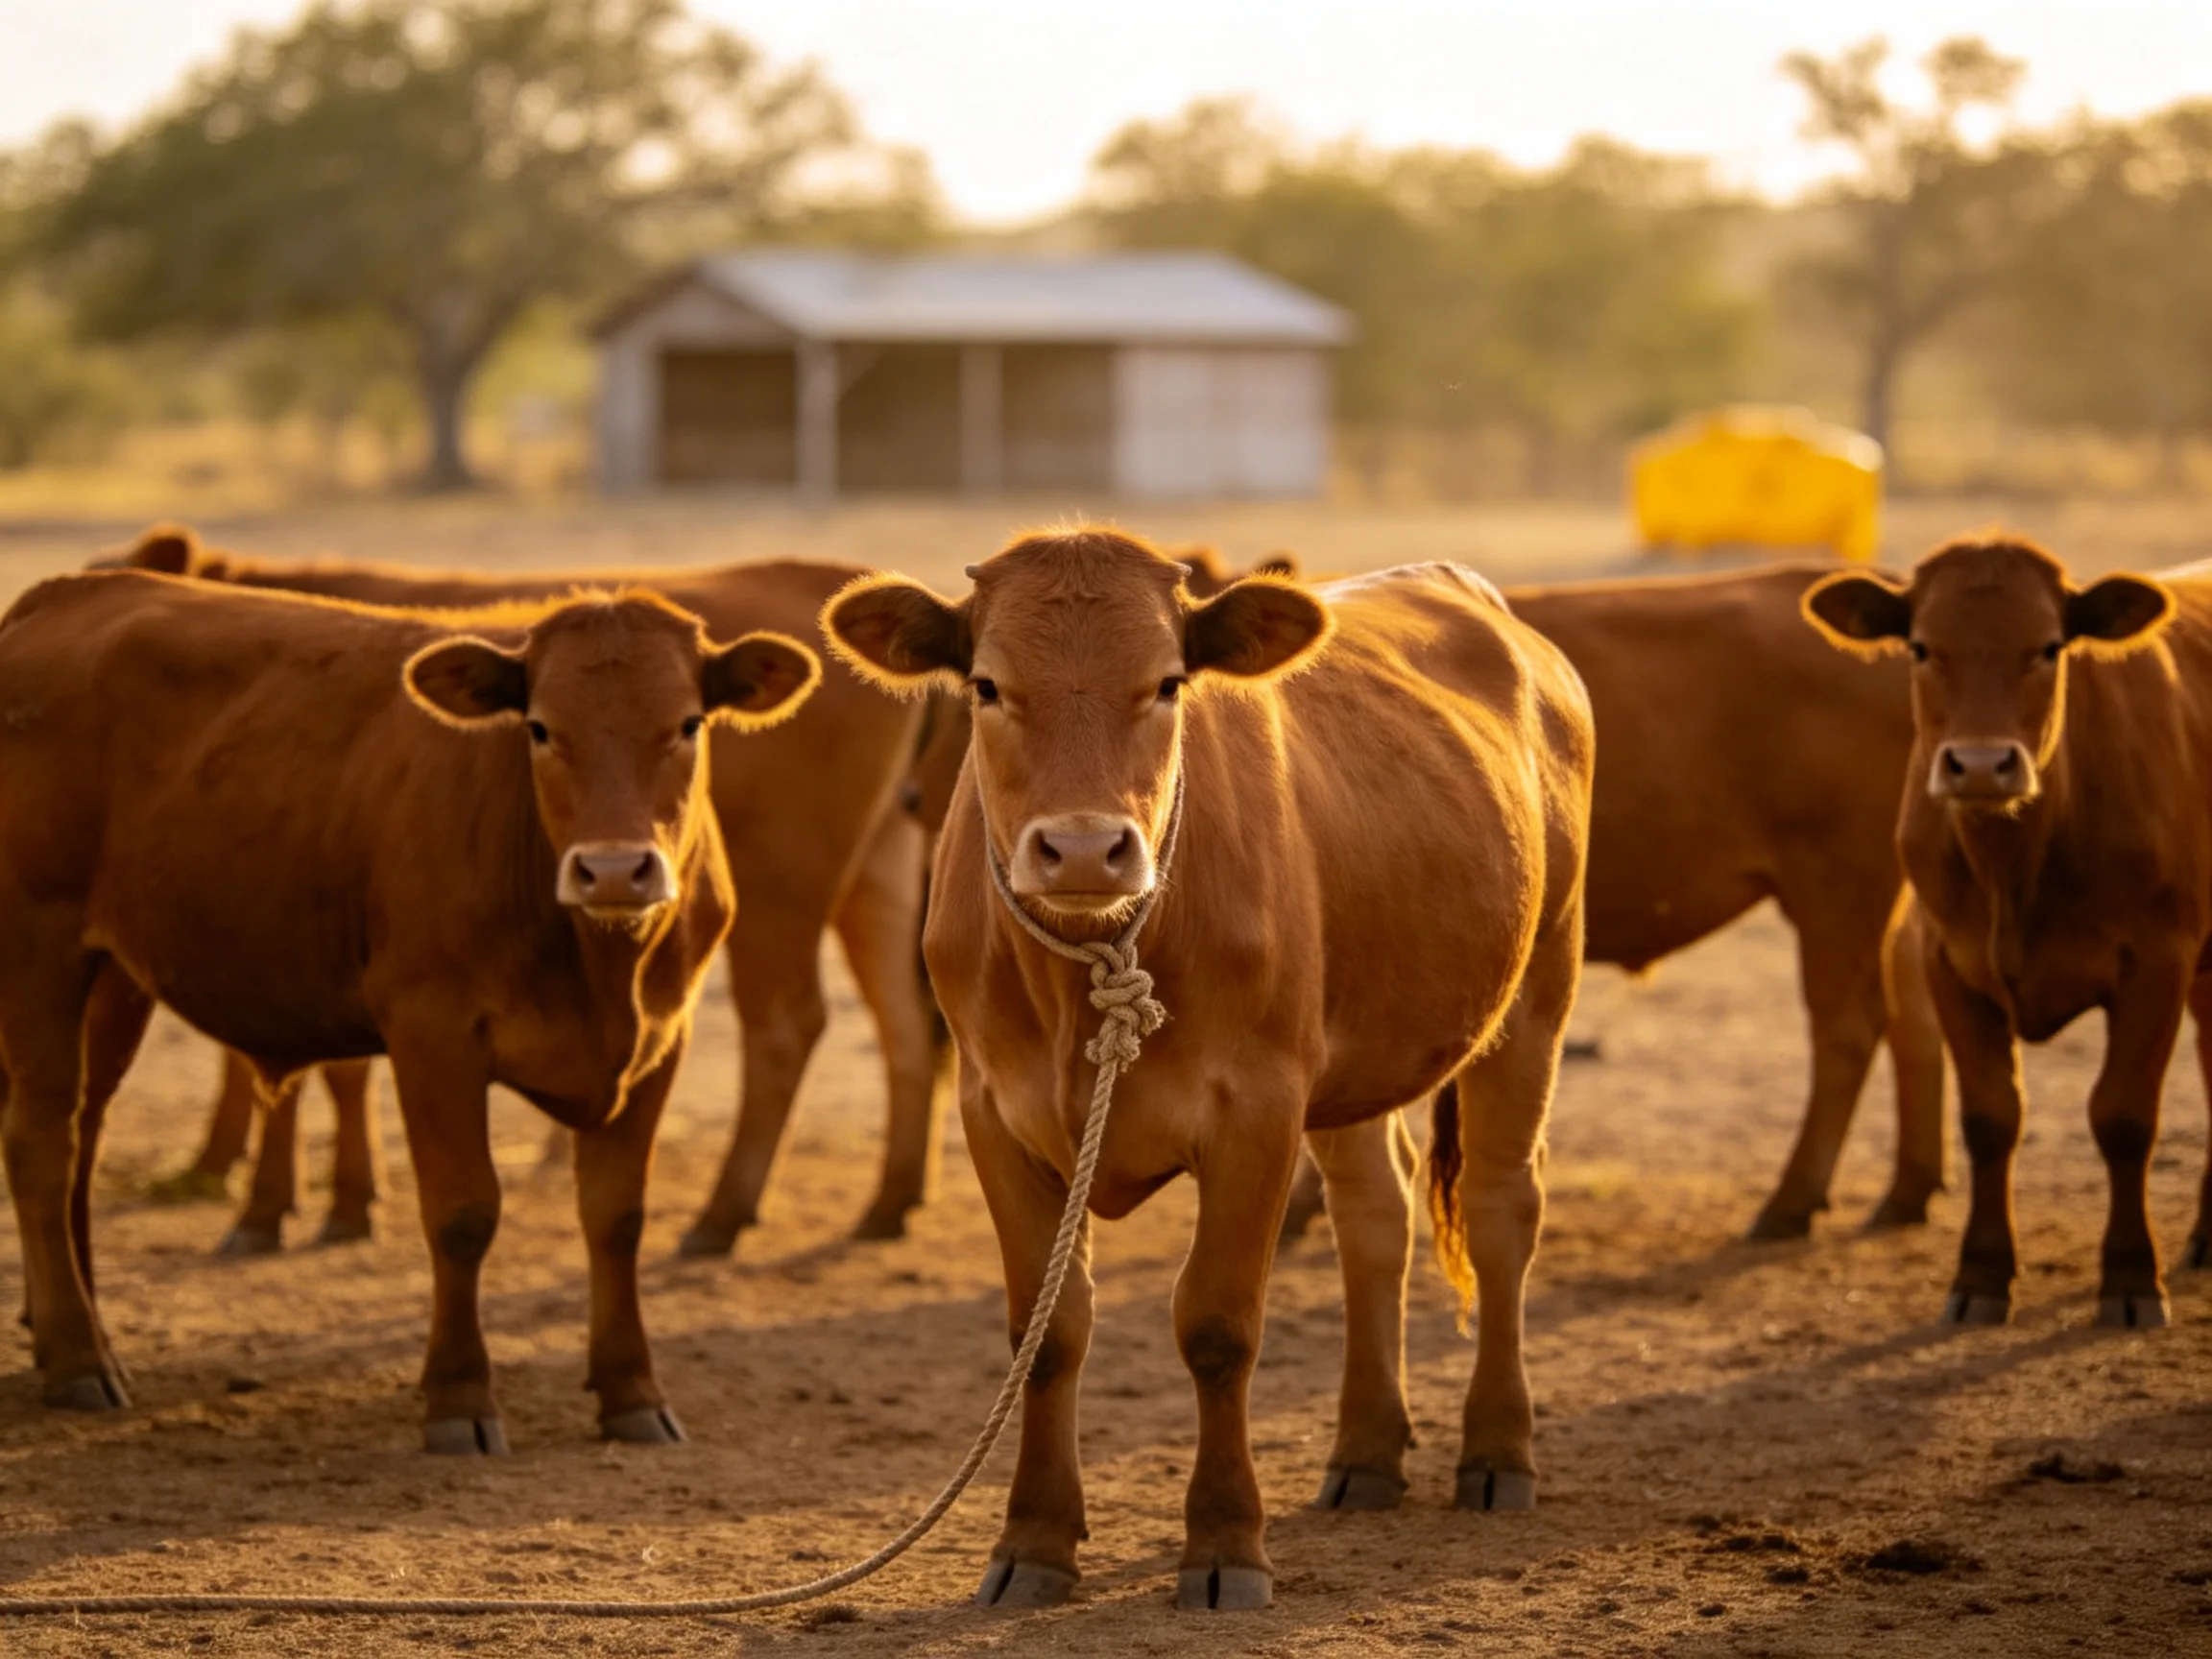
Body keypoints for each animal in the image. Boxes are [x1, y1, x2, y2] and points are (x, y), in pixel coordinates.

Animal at [0, 570, 816, 1448]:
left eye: (689, 724)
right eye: (539, 728)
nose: (612, 871)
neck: (600, 962)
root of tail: (65, 595)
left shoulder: (662, 1039)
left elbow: (617, 1217)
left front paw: (632, 1392)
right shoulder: (434, 1032)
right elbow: (462, 1214)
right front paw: (460, 1398)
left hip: (113, 976)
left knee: (83, 1135)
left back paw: (69, 1335)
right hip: (38, 949)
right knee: (42, 1143)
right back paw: (79, 1359)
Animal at [104, 527, 939, 1257]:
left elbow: (293, 1063)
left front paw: (271, 1204)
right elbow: (318, 1061)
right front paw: (327, 1197)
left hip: (783, 886)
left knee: (785, 1027)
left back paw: (722, 1215)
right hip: (878, 874)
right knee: (906, 1019)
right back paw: (888, 1203)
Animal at [825, 528, 1594, 1610]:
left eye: (1167, 683)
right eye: (985, 684)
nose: (1085, 849)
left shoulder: (1256, 1112)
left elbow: (1219, 1327)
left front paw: (1226, 1544)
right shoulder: (995, 1113)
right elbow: (1046, 1332)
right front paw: (1034, 1542)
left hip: (1537, 987)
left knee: (1499, 1208)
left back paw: (1497, 1450)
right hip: (1354, 1059)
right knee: (1376, 1218)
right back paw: (1366, 1453)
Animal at [1806, 534, 2212, 1327]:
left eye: (2049, 647)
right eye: (1922, 647)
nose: (1982, 766)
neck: (2017, 859)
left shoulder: (2159, 961)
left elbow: (2124, 1117)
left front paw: (2129, 1280)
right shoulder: (1948, 960)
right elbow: (1990, 1118)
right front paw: (1982, 1276)